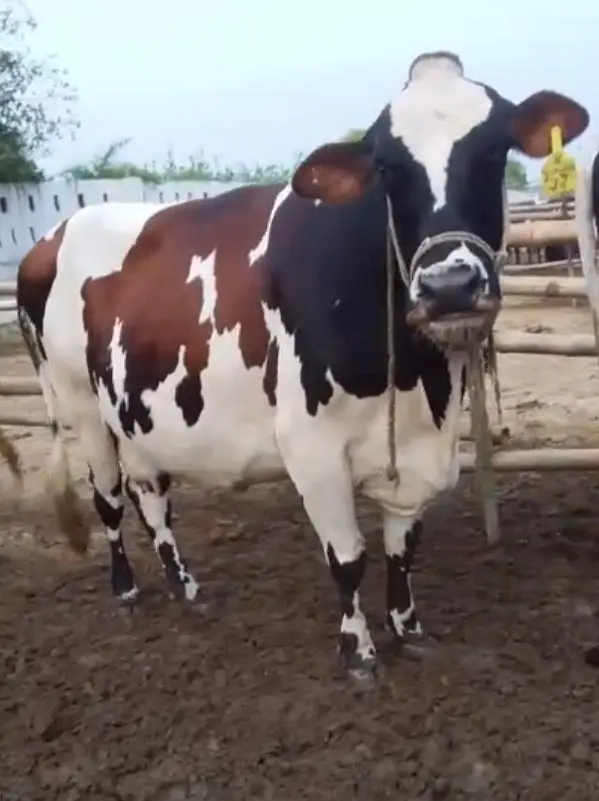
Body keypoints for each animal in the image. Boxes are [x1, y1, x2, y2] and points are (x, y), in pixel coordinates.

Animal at [16, 51, 589, 679]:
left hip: (135, 408)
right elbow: (348, 557)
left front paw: (408, 627)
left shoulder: (420, 445)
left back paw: (185, 585)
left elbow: (402, 547)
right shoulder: (310, 443)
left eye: (493, 151)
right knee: (108, 497)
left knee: (151, 495)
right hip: (79, 404)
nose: (449, 286)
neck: (419, 381)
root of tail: (49, 238)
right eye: (387, 168)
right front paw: (358, 651)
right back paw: (125, 589)